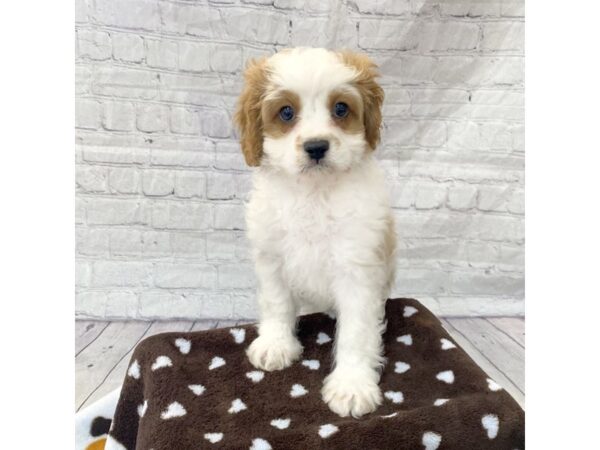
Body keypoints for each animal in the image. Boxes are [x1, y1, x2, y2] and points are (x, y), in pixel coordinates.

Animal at [236, 47, 398, 416]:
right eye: (286, 112)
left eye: (341, 109)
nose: (316, 147)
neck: (313, 192)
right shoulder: (272, 257)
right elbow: (277, 303)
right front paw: (276, 344)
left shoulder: (358, 269)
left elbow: (356, 331)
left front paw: (352, 385)